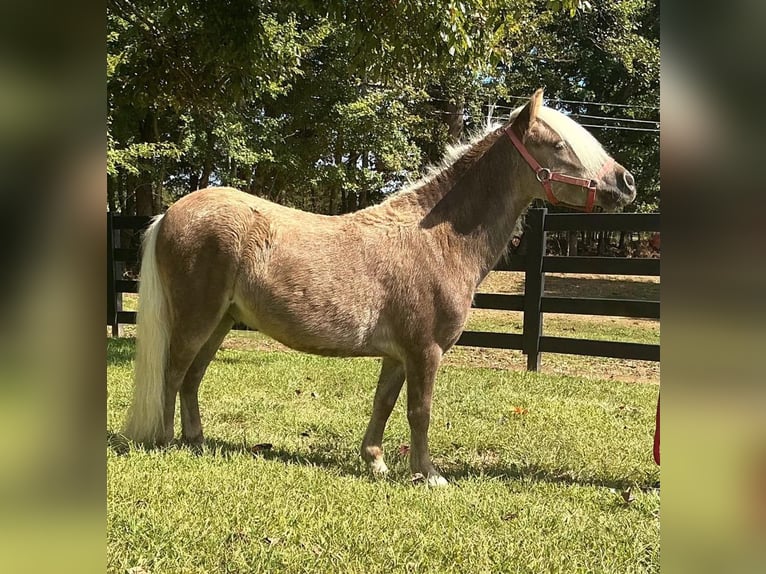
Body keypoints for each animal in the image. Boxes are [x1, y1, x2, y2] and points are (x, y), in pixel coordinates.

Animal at [123, 89, 637, 485]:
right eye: (559, 144)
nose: (627, 182)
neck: (438, 239)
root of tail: (170, 213)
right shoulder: (425, 351)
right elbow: (419, 410)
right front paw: (429, 475)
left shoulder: (398, 353)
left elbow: (385, 403)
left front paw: (376, 462)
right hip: (197, 319)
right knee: (174, 372)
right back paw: (166, 442)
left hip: (222, 322)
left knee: (192, 377)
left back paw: (196, 441)